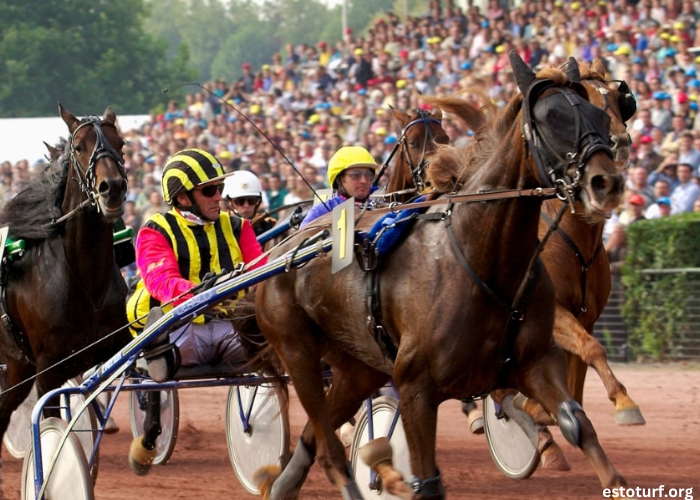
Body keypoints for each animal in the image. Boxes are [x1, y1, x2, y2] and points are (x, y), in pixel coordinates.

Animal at [0, 103, 131, 474]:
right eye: (79, 147)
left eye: (121, 144)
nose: (111, 188)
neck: (85, 281)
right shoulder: (48, 368)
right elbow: (51, 421)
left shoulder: (111, 346)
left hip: (17, 369)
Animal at [249, 52, 628, 498]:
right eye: (552, 118)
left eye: (607, 110)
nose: (607, 180)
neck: (483, 257)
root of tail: (281, 251)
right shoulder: (417, 387)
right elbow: (428, 478)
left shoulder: (537, 360)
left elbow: (578, 420)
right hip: (298, 352)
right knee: (327, 446)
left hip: (357, 367)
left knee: (313, 437)